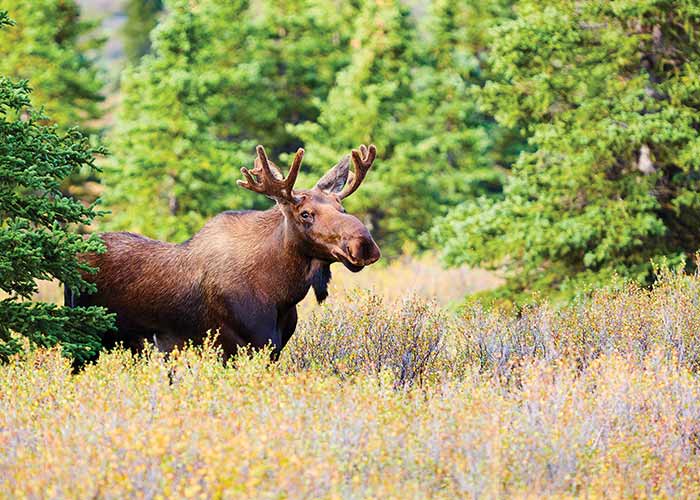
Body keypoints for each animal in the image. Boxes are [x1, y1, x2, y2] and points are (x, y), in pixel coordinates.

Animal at [67, 144, 380, 359]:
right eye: (305, 214)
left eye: (342, 208)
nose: (364, 244)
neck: (281, 292)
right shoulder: (234, 346)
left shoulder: (274, 348)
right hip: (83, 339)